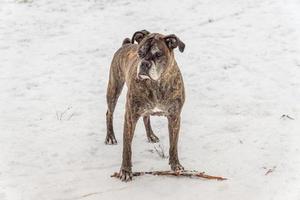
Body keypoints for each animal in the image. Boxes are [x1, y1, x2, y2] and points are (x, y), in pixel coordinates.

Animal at [105, 29, 185, 181]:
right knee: (109, 113)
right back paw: (110, 137)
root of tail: (125, 44)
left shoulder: (174, 116)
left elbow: (174, 145)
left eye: (158, 54)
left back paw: (151, 135)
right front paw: (125, 171)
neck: (156, 83)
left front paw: (176, 165)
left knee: (146, 117)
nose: (144, 64)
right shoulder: (130, 117)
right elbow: (127, 148)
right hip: (114, 88)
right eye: (140, 53)